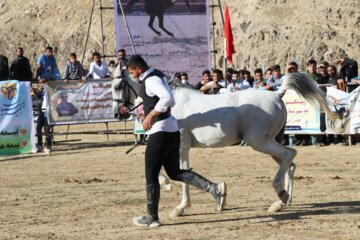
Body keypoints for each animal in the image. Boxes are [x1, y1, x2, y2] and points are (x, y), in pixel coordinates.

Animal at [112, 71, 338, 216]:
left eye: (117, 86)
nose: (118, 113)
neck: (169, 103)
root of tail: (276, 93)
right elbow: (168, 172)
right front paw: (171, 189)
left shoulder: (181, 147)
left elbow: (181, 174)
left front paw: (181, 207)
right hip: (271, 141)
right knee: (289, 161)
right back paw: (284, 201)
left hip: (259, 142)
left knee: (289, 156)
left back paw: (279, 196)